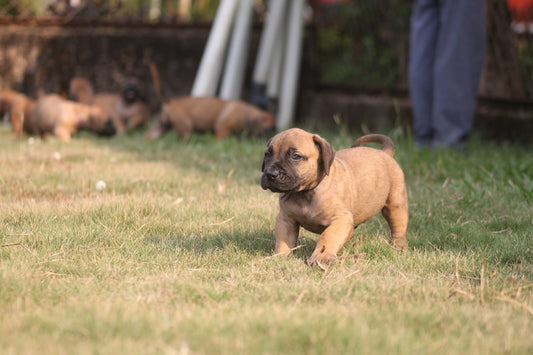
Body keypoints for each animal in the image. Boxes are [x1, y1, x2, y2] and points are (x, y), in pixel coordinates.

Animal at [145, 97, 276, 142]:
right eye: (269, 129)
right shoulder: (223, 128)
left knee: (151, 134)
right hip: (186, 127)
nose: (271, 136)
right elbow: (220, 139)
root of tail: (170, 102)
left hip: (160, 126)